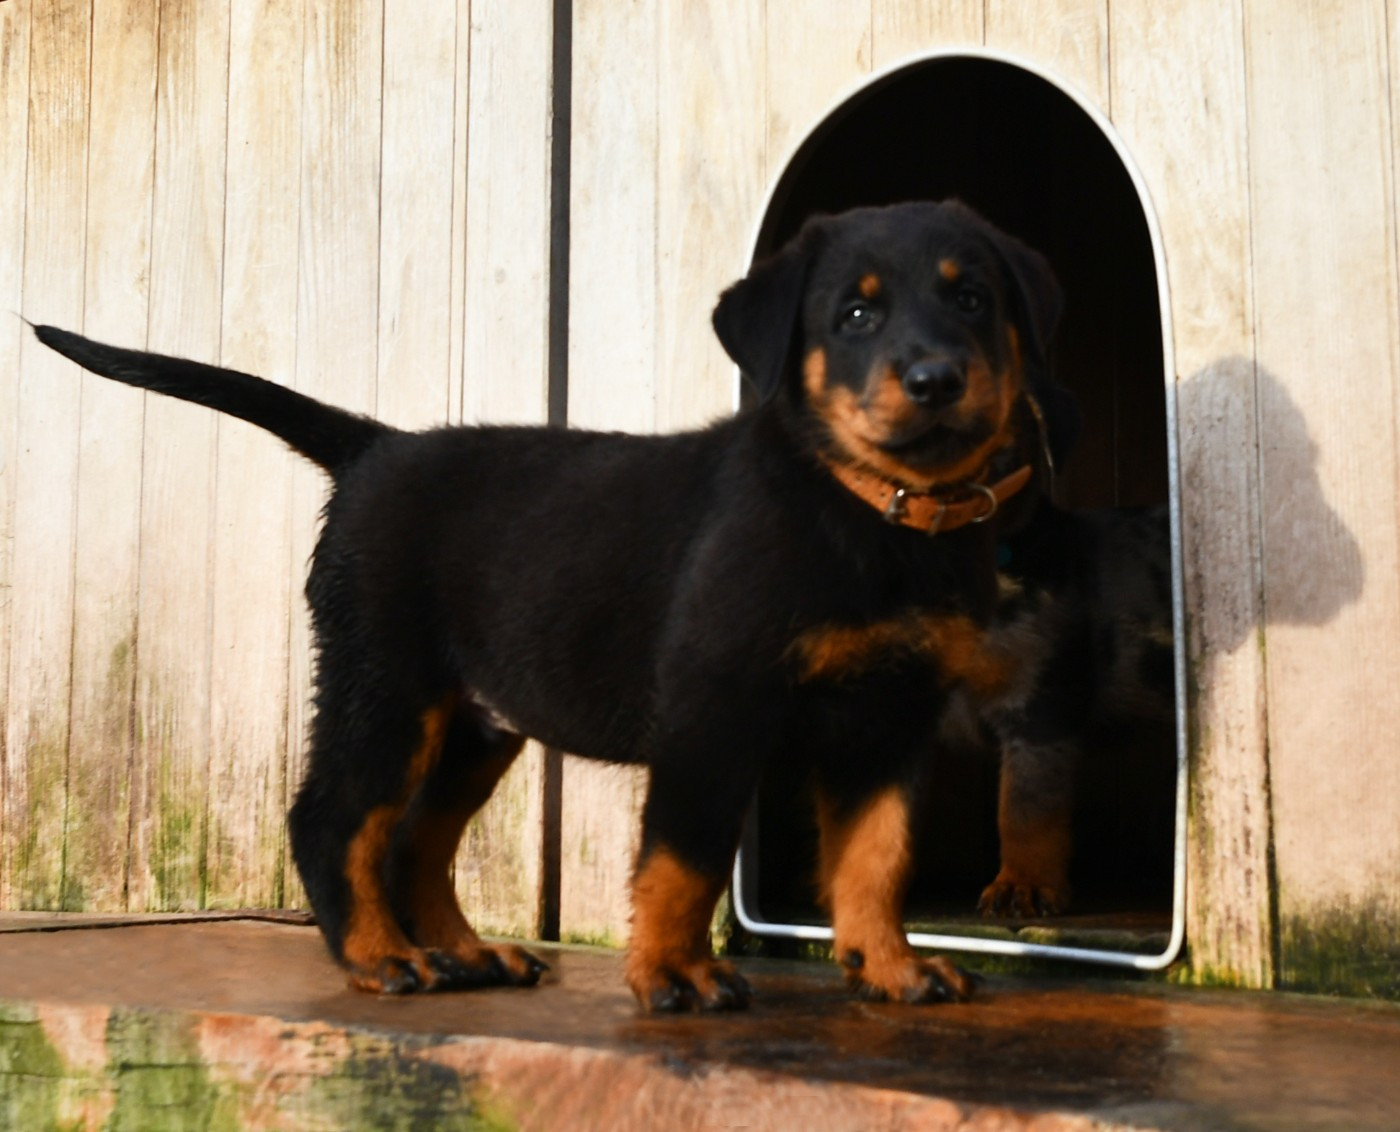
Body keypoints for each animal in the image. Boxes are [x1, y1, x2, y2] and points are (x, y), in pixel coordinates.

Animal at [34, 199, 1077, 1011]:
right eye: (856, 313)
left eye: (972, 299)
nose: (936, 379)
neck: (873, 513)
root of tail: (375, 446)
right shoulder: (712, 710)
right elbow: (685, 857)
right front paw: (673, 977)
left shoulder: (888, 724)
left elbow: (876, 855)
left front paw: (889, 966)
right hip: (385, 683)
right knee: (333, 818)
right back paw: (380, 958)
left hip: (475, 723)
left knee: (414, 841)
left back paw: (461, 953)